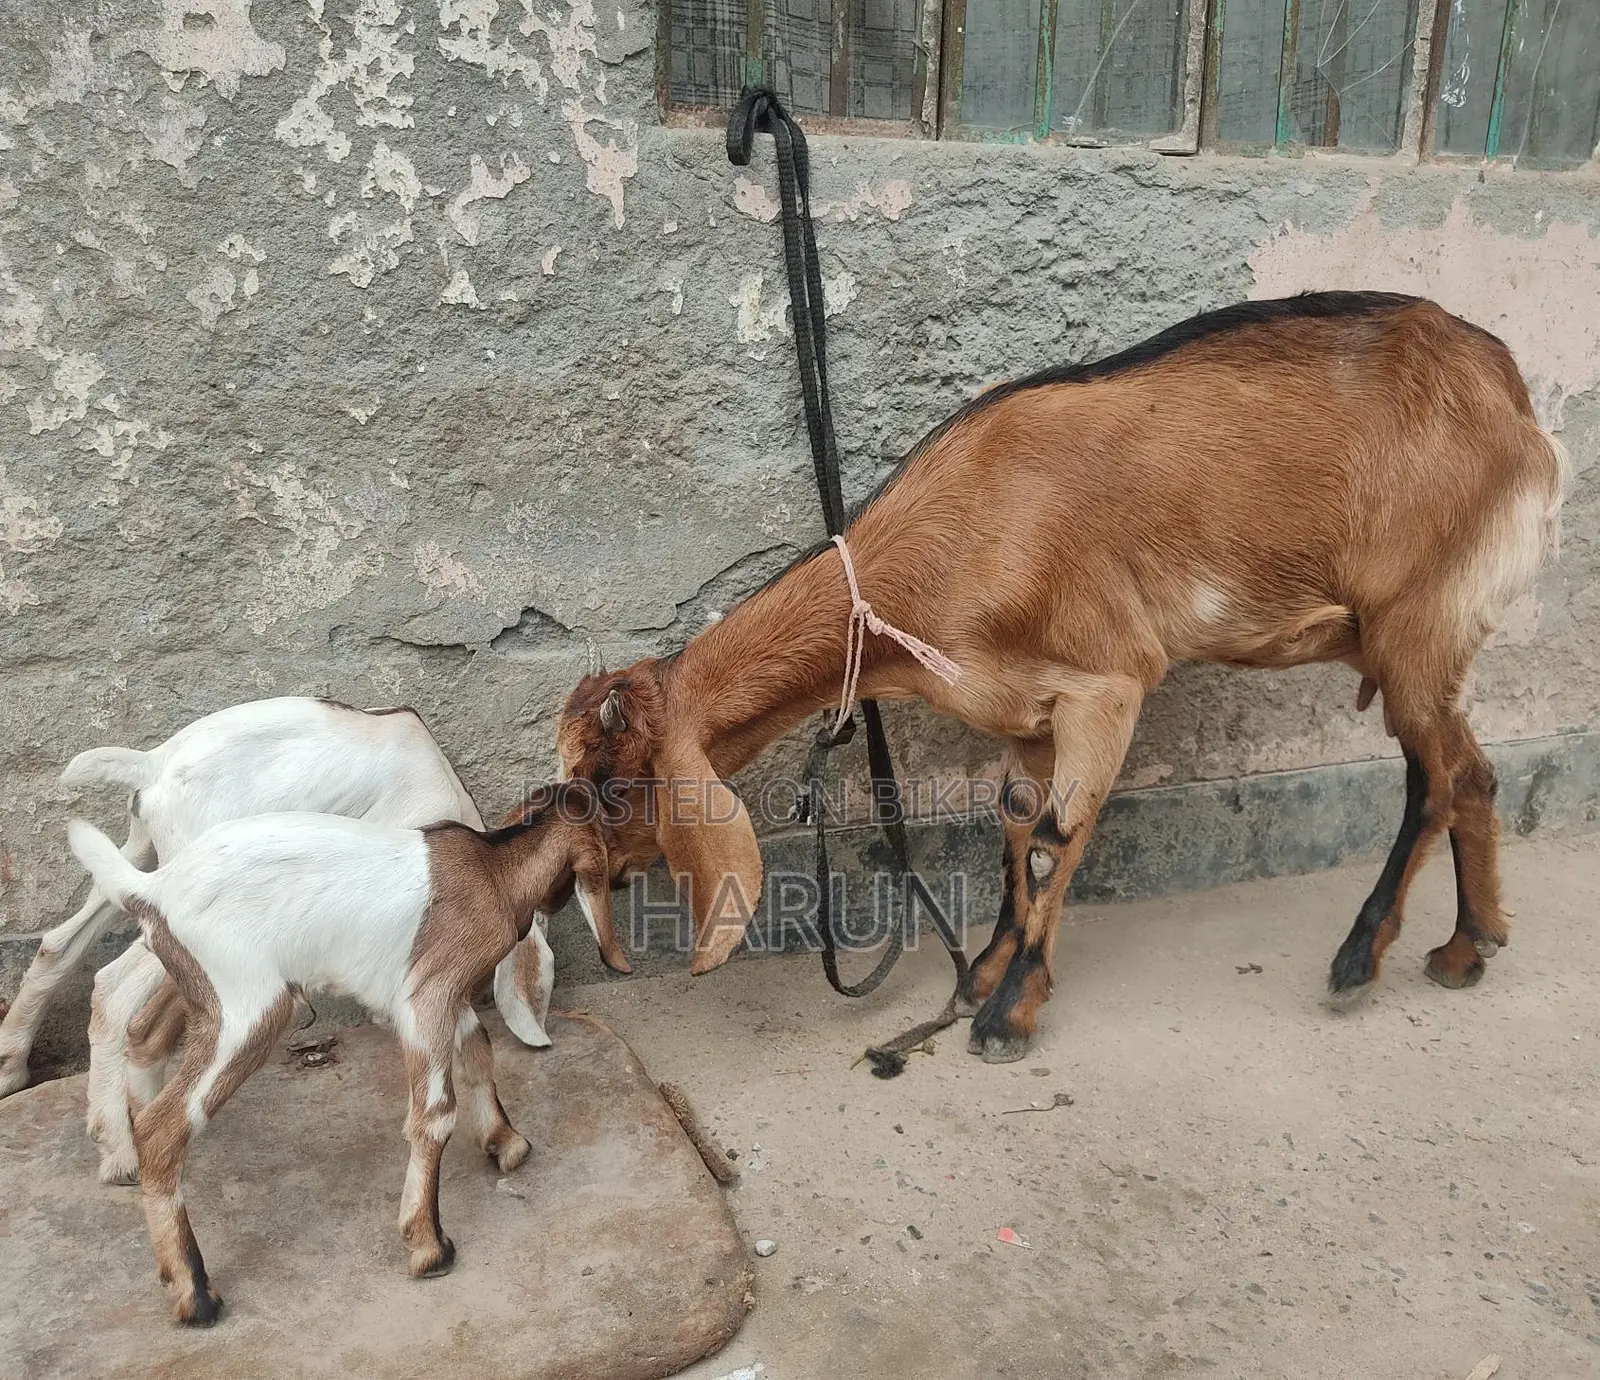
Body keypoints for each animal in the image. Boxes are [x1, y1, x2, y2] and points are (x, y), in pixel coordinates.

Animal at [0, 697, 585, 1185]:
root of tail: (154, 762)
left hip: (136, 859)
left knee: (57, 944)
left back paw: (16, 1064)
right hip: (183, 898)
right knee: (110, 985)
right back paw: (118, 1147)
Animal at [65, 779, 623, 1325]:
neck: (494, 869)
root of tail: (155, 890)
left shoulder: (444, 998)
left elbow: (478, 1050)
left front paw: (505, 1141)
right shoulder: (426, 998)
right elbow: (435, 1114)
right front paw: (428, 1245)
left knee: (148, 1053)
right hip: (248, 1009)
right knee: (162, 1127)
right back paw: (194, 1292)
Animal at [553, 293, 1567, 1062]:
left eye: (610, 782)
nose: (588, 884)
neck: (954, 539)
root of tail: (1514, 403)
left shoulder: (1107, 683)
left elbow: (1053, 840)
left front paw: (1009, 1015)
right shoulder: (1022, 712)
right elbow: (1011, 831)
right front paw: (982, 975)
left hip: (1417, 622)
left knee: (1436, 780)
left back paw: (1361, 960)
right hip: (1431, 641)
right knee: (1471, 773)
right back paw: (1469, 946)